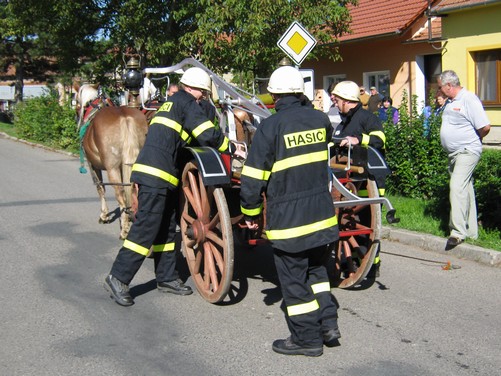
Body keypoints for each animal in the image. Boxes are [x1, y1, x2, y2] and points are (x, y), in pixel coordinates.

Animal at [81, 103, 147, 238]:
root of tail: (125, 117)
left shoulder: (92, 164)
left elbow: (100, 187)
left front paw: (104, 215)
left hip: (112, 169)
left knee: (120, 193)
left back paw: (125, 229)